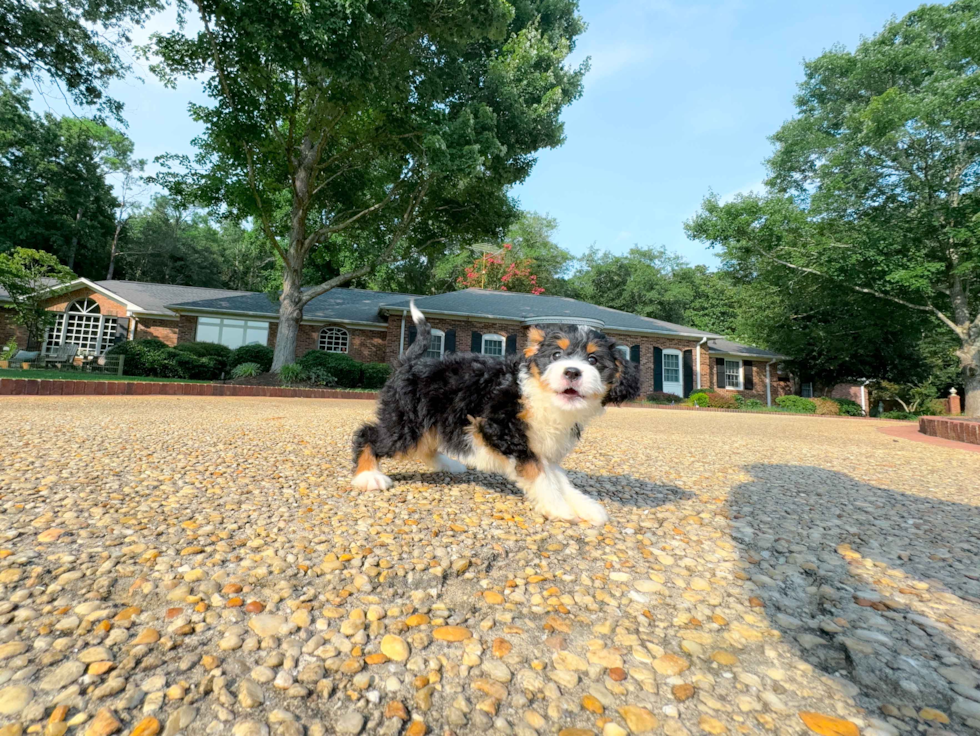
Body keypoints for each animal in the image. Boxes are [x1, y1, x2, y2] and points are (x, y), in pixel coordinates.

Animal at [352, 302, 644, 528]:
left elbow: (557, 476)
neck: (538, 393)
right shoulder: (499, 429)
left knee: (425, 444)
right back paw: (369, 476)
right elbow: (537, 471)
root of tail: (409, 362)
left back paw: (447, 464)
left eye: (593, 360)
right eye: (556, 355)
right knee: (369, 434)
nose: (572, 371)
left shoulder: (540, 442)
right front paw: (558, 507)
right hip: (407, 420)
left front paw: (584, 506)